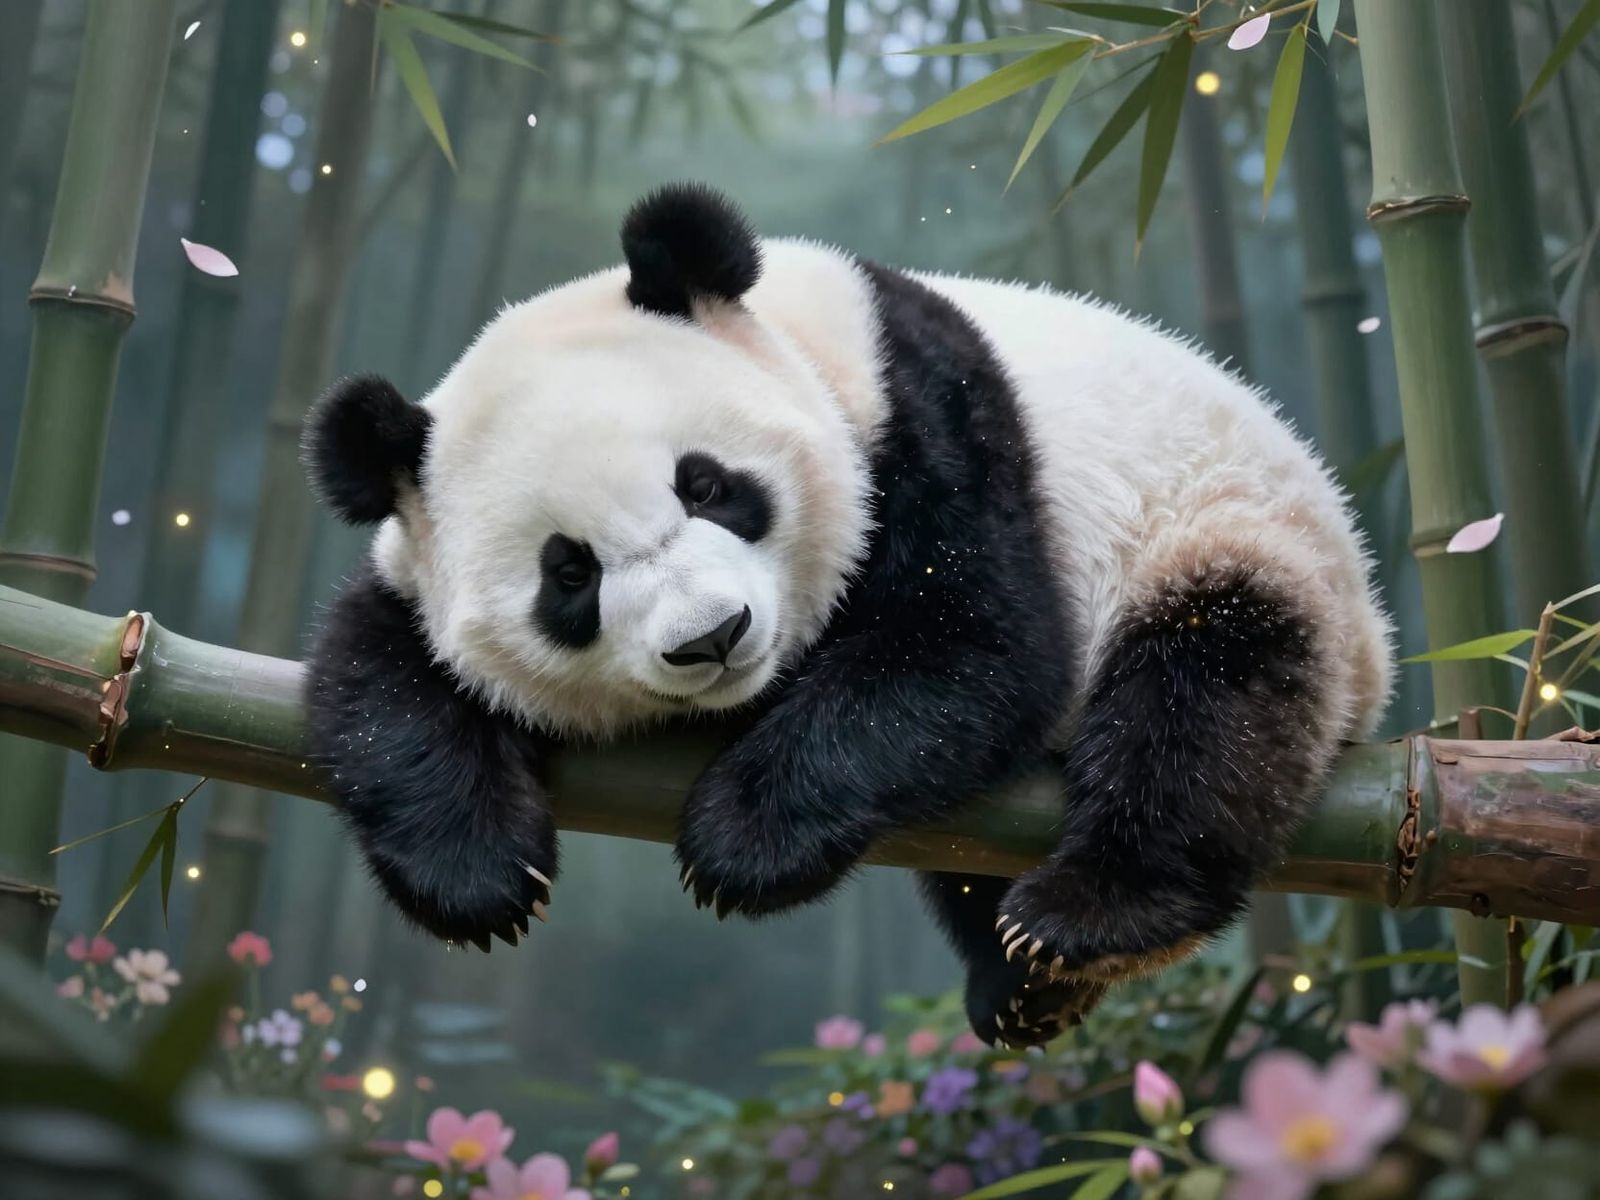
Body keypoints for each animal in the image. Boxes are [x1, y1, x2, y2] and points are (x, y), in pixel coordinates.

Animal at [302, 182, 1392, 1047]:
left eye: (709, 486)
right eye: (568, 574)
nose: (712, 637)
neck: (800, 337)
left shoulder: (931, 419)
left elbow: (973, 647)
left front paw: (744, 844)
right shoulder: (414, 560)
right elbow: (372, 673)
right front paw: (473, 873)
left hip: (1236, 541)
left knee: (1207, 700)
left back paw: (1087, 917)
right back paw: (1023, 986)